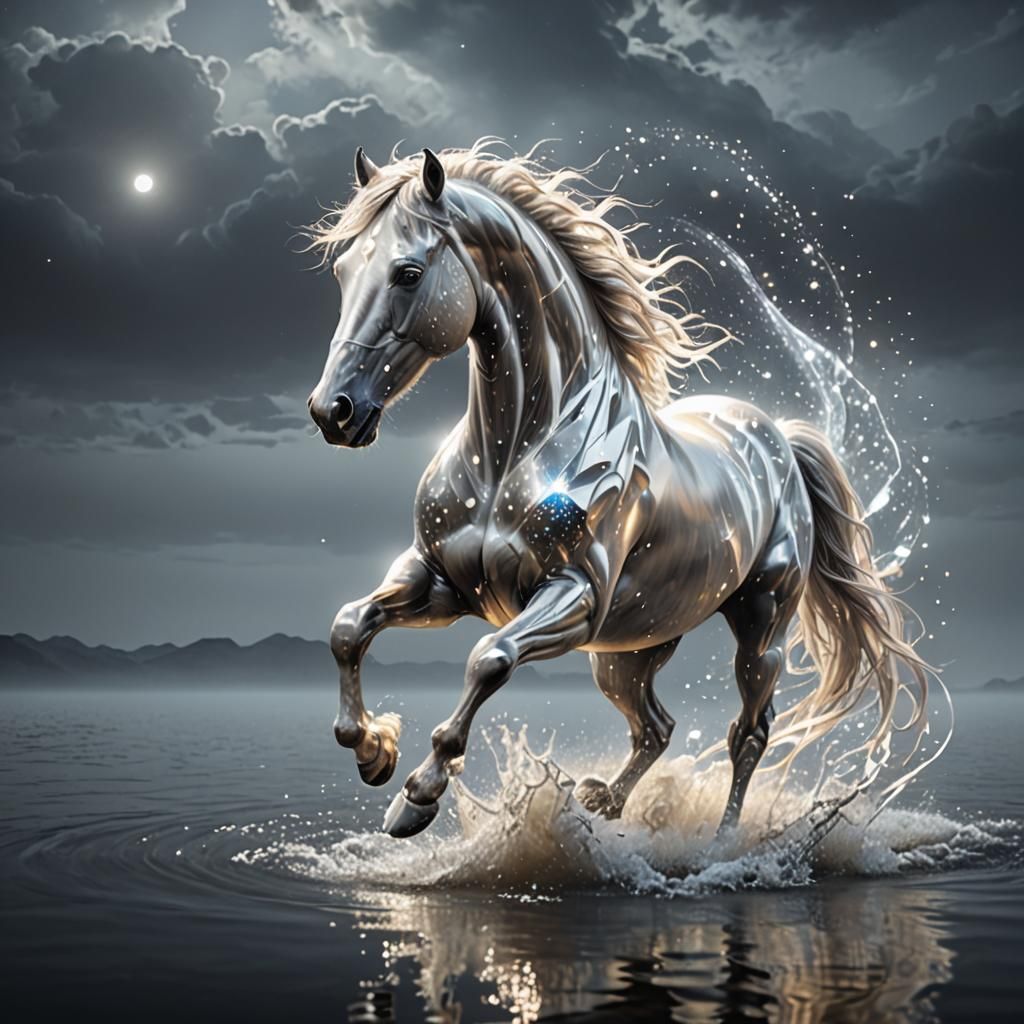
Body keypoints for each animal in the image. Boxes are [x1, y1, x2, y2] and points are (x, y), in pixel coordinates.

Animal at [305, 141, 928, 839]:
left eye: (408, 273)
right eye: (342, 271)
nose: (332, 411)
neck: (515, 451)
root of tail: (779, 439)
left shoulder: (573, 597)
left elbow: (489, 657)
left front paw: (417, 796)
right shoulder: (438, 581)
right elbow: (348, 625)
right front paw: (373, 751)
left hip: (759, 625)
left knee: (748, 732)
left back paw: (722, 843)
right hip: (629, 650)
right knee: (656, 727)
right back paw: (603, 802)